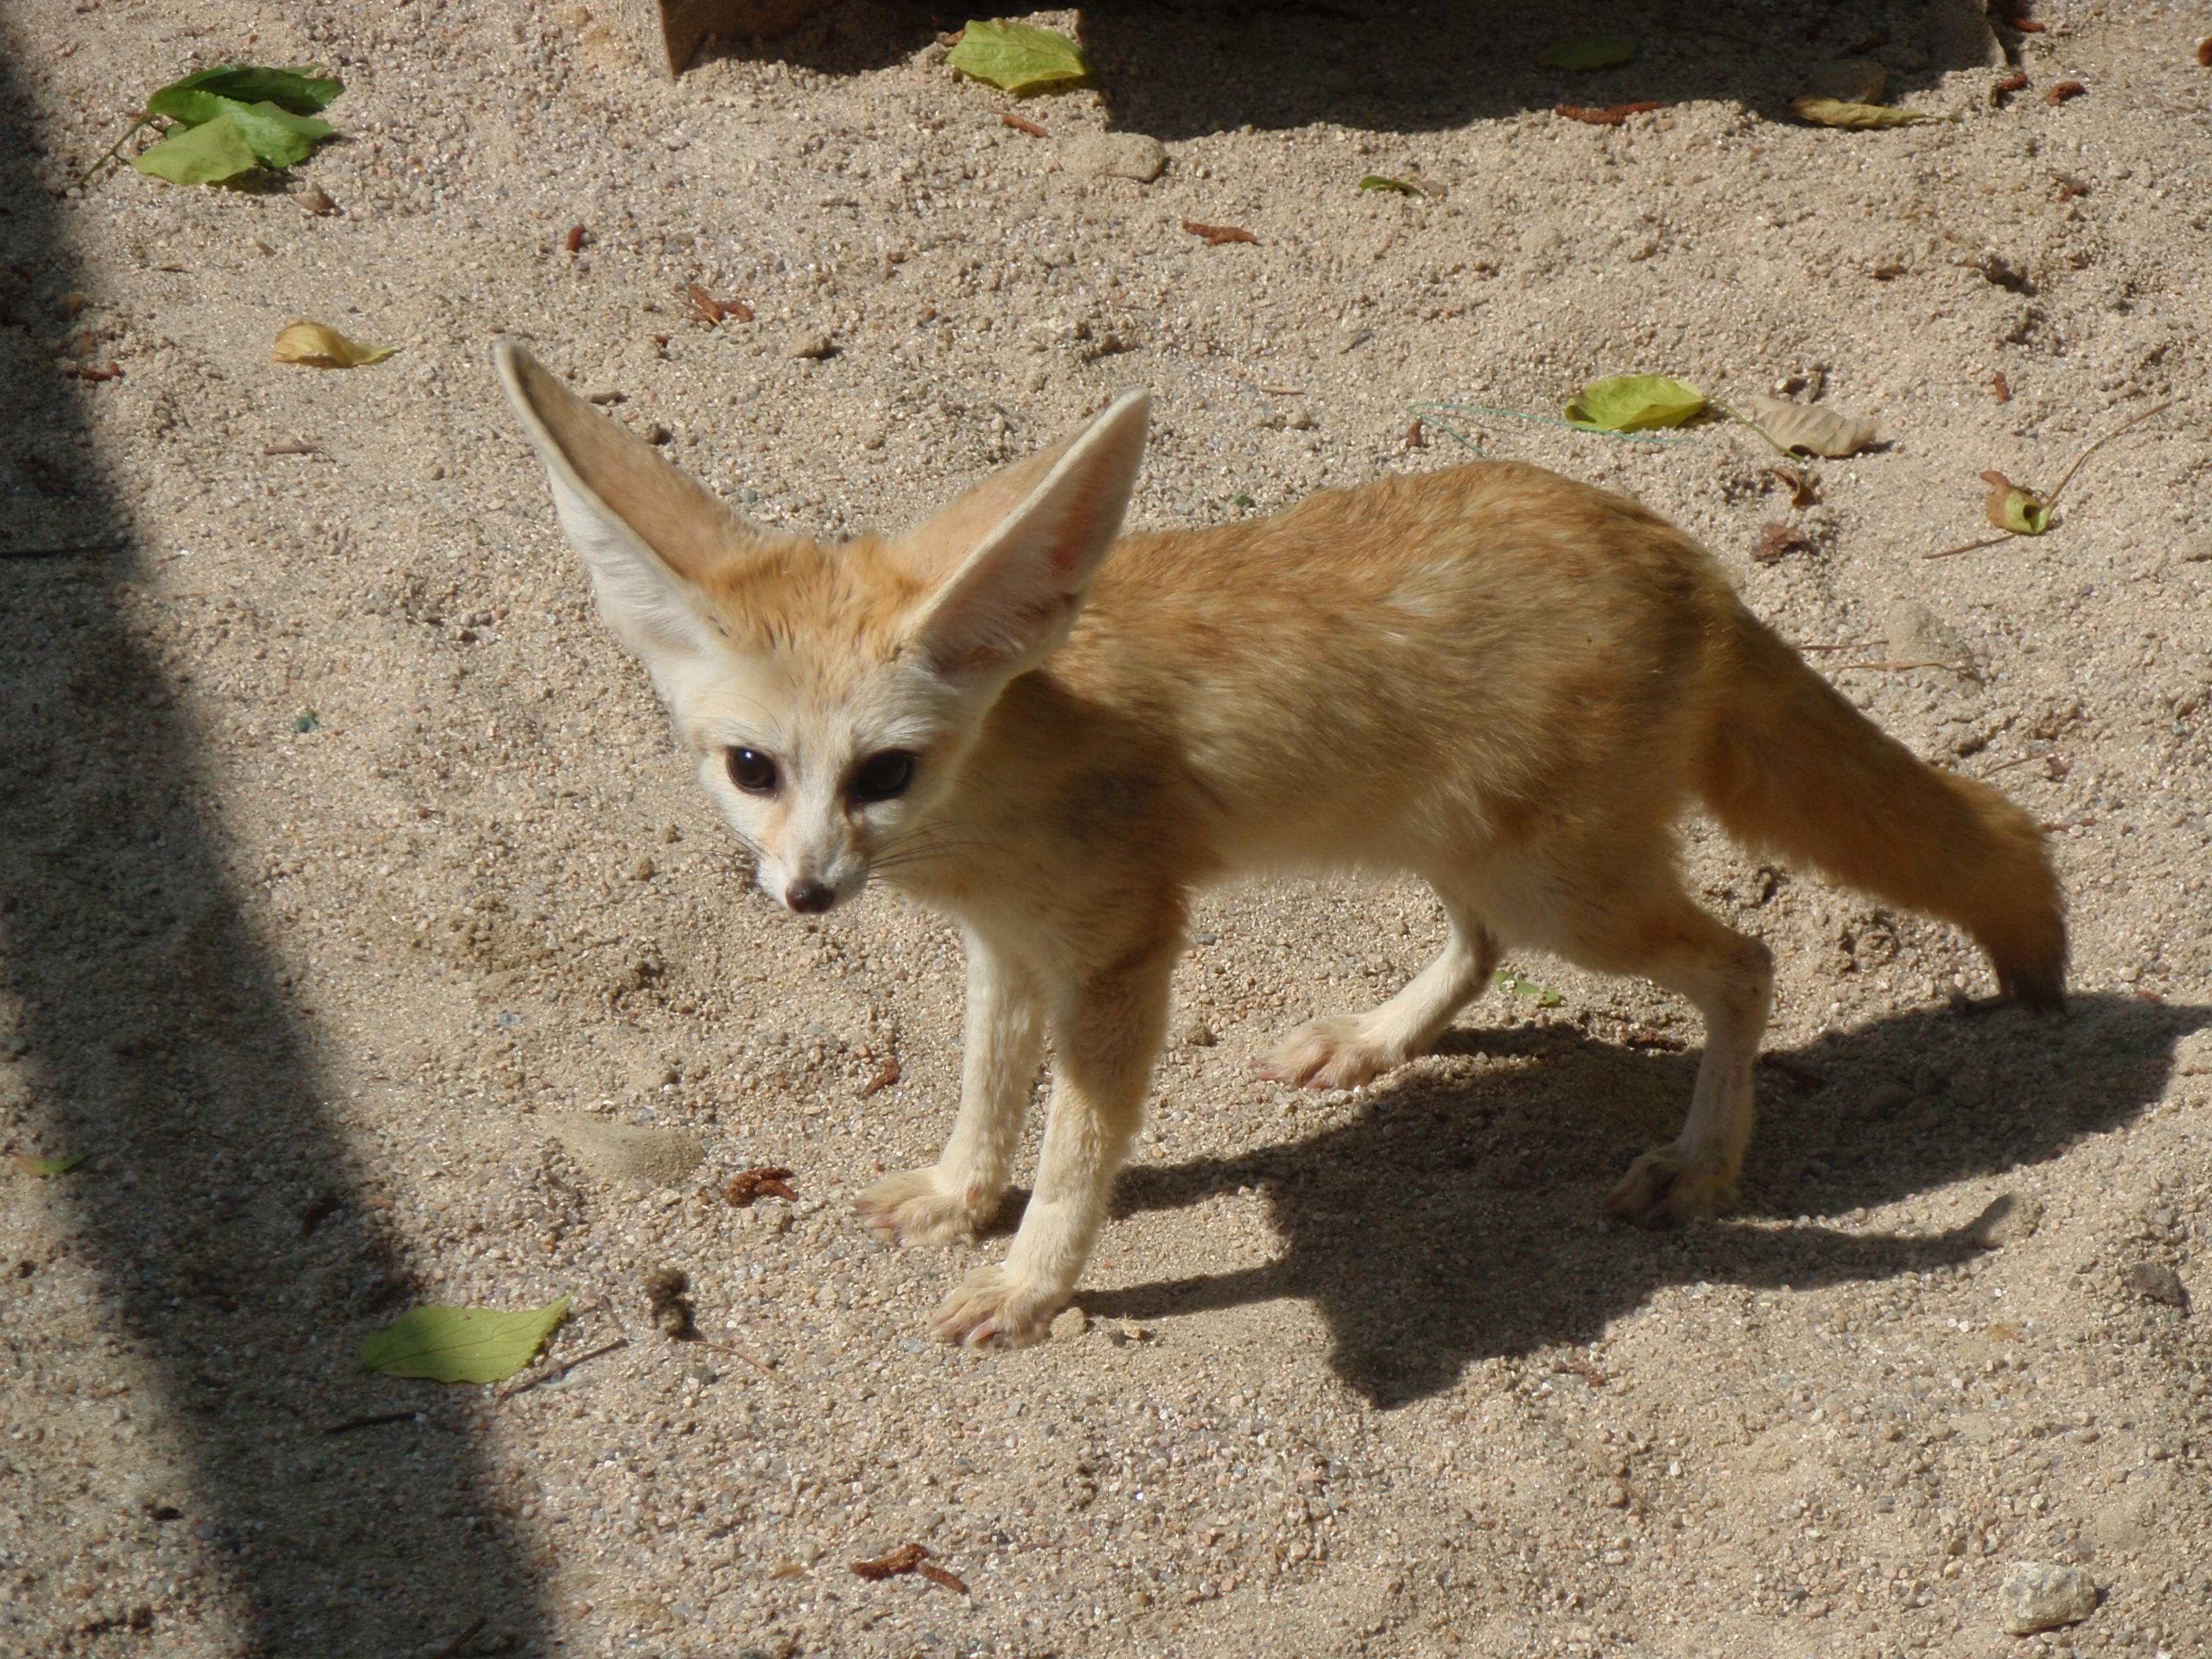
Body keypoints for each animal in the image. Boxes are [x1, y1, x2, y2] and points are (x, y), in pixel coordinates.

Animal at [493, 347, 2062, 1353]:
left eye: (884, 771)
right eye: (751, 769)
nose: (807, 891)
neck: (1001, 782)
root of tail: (1686, 557)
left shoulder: (1123, 954)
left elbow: (1077, 1152)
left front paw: (1035, 1282)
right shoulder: (1007, 951)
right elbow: (989, 1094)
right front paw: (959, 1193)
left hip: (1566, 892)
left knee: (1747, 958)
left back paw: (1701, 1160)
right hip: (1473, 857)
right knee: (1483, 949)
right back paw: (1376, 1038)